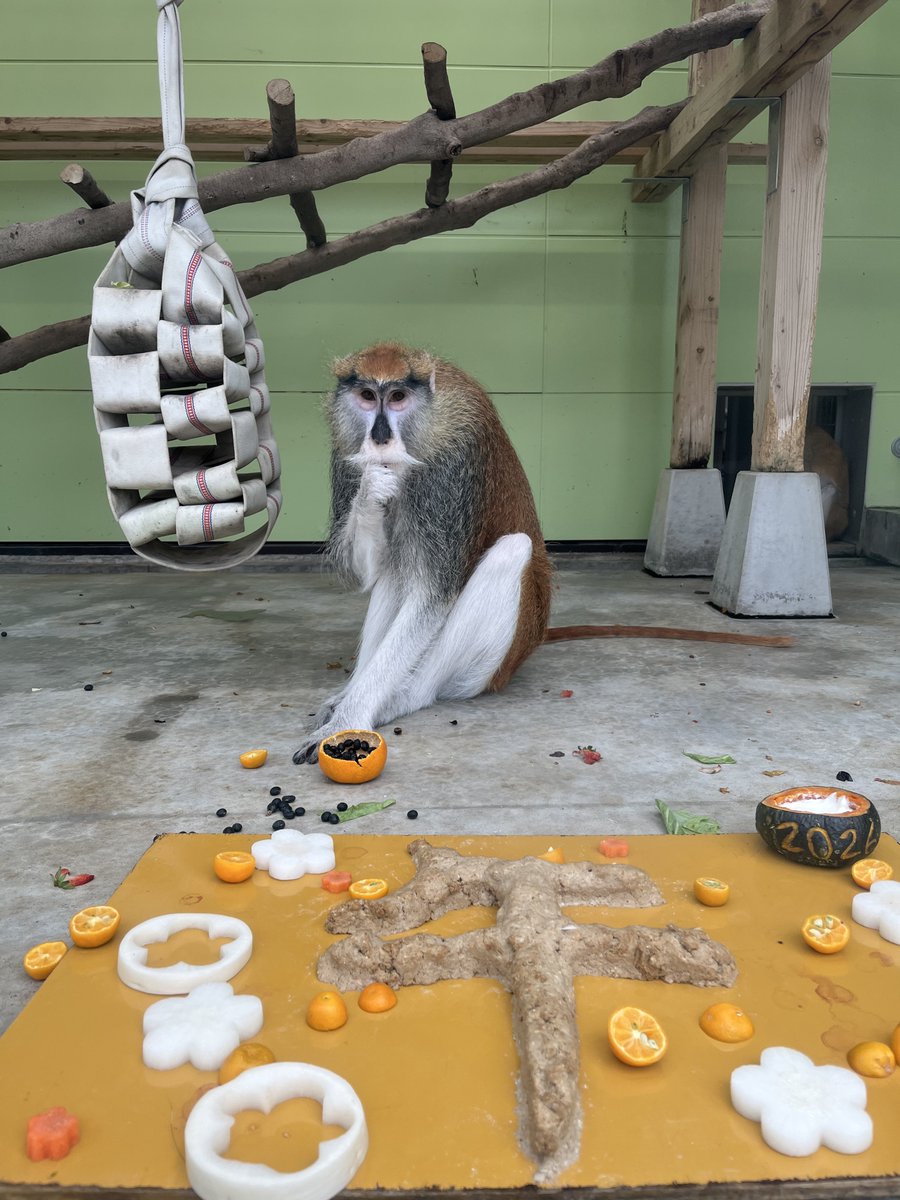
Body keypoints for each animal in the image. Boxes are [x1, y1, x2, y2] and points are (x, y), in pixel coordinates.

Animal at [292, 343, 790, 765]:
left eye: (396, 397)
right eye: (365, 396)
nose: (379, 439)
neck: (430, 419)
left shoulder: (454, 467)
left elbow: (433, 596)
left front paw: (349, 720)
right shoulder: (344, 452)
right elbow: (369, 567)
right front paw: (373, 488)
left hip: (492, 663)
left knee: (511, 550)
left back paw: (402, 698)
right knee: (399, 567)